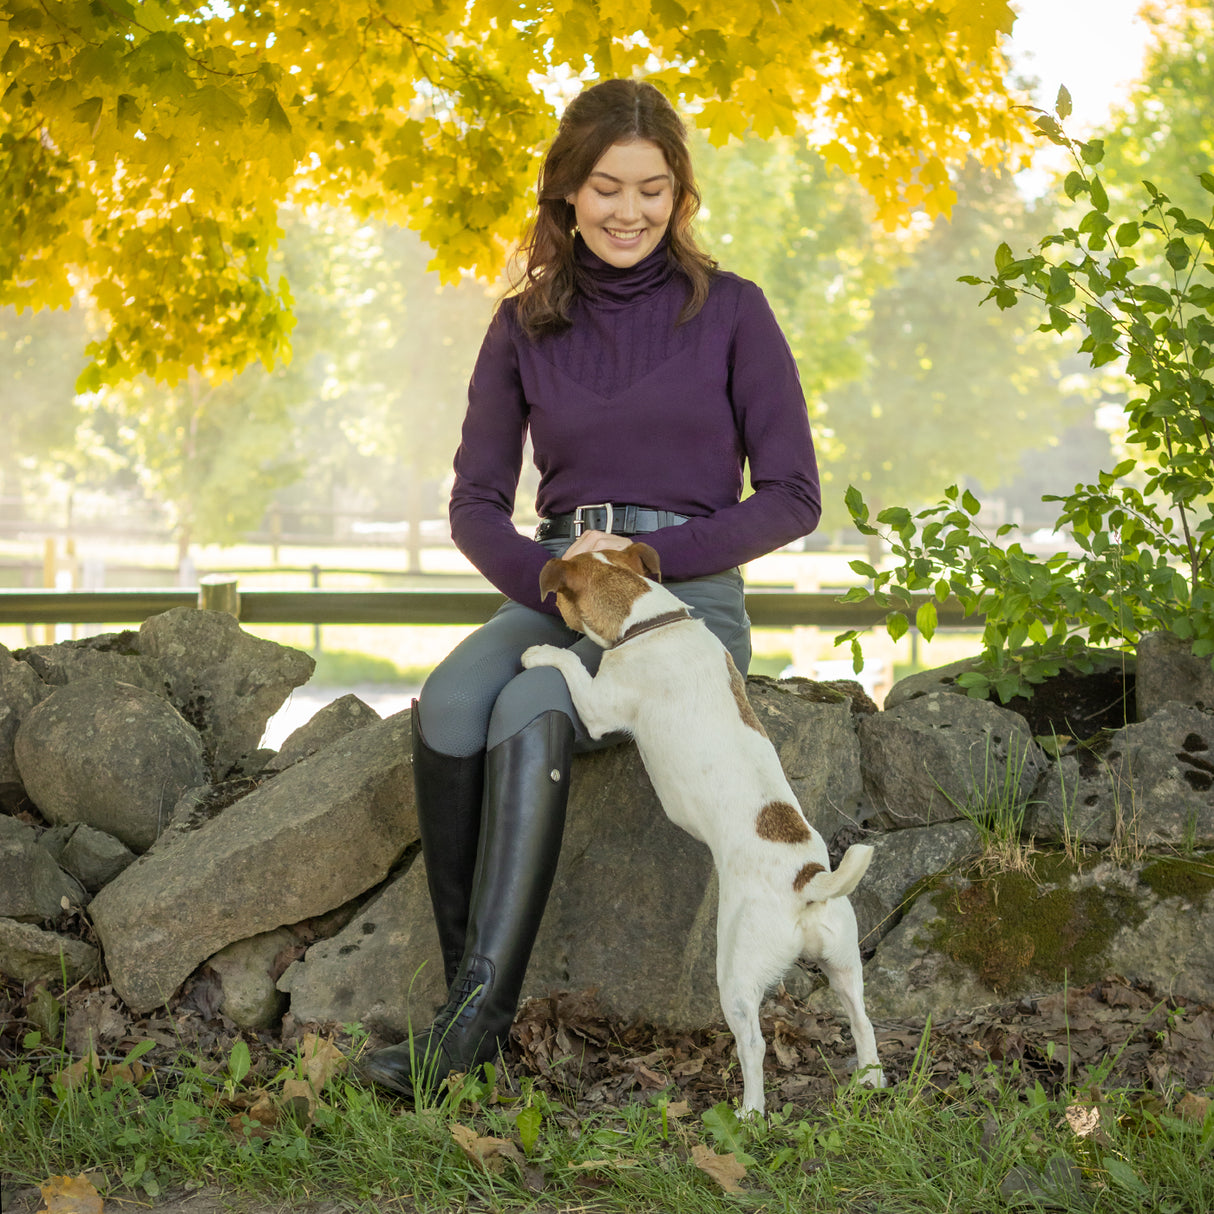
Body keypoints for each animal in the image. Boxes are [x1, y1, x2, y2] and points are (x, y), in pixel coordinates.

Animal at [522, 546, 883, 1112]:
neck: (651, 621)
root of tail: (808, 883)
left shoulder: (600, 707)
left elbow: (572, 665)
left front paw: (541, 653)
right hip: (845, 962)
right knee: (863, 1020)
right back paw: (871, 1078)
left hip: (735, 973)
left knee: (753, 1043)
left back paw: (751, 1111)